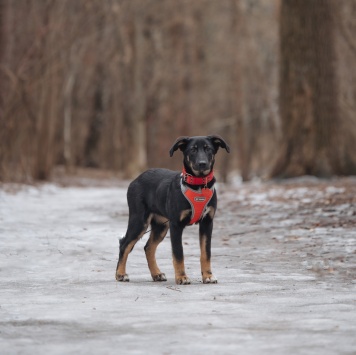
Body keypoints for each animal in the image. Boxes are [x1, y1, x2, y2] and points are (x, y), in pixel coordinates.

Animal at [115, 135, 229, 286]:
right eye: (192, 150)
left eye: (208, 149)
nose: (202, 164)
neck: (198, 185)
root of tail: (136, 179)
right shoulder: (176, 225)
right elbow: (178, 253)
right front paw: (181, 277)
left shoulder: (207, 223)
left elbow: (206, 253)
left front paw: (208, 276)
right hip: (139, 221)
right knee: (124, 244)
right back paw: (120, 274)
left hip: (161, 226)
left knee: (148, 247)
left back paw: (156, 274)